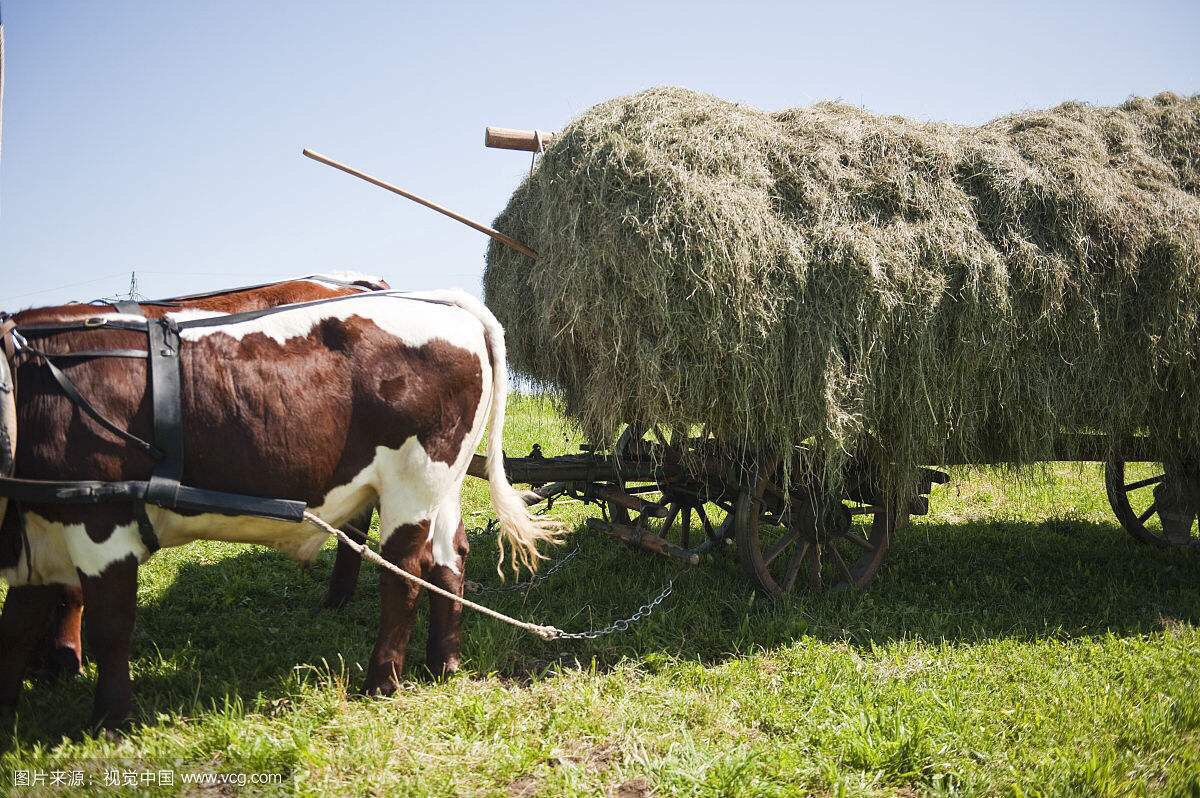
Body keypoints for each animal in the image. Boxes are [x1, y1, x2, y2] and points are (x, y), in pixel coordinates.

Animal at [0, 288, 556, 729]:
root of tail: (445, 302)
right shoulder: (36, 538)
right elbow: (17, 627)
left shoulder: (101, 521)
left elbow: (110, 627)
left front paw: (110, 720)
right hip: (443, 484)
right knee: (449, 558)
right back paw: (443, 664)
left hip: (412, 482)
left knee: (403, 573)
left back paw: (382, 680)